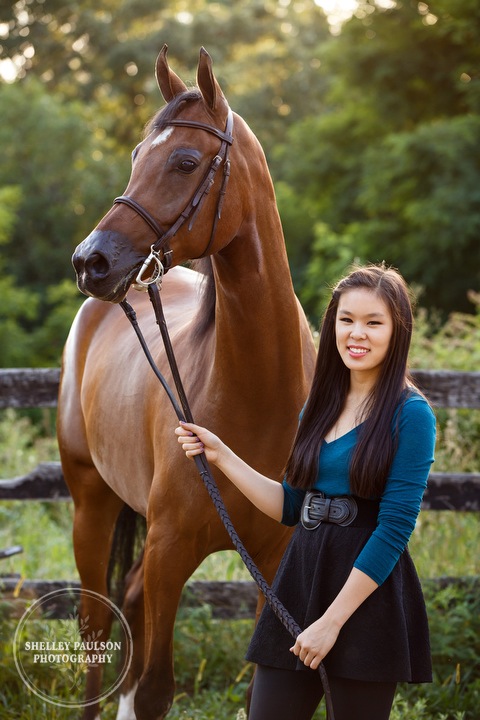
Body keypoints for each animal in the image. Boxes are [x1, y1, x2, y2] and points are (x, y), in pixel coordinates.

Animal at [57, 46, 316, 720]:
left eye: (184, 161)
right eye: (135, 157)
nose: (90, 260)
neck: (257, 399)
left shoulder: (274, 566)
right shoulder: (169, 550)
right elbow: (154, 689)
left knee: (127, 604)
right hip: (91, 502)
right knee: (97, 623)